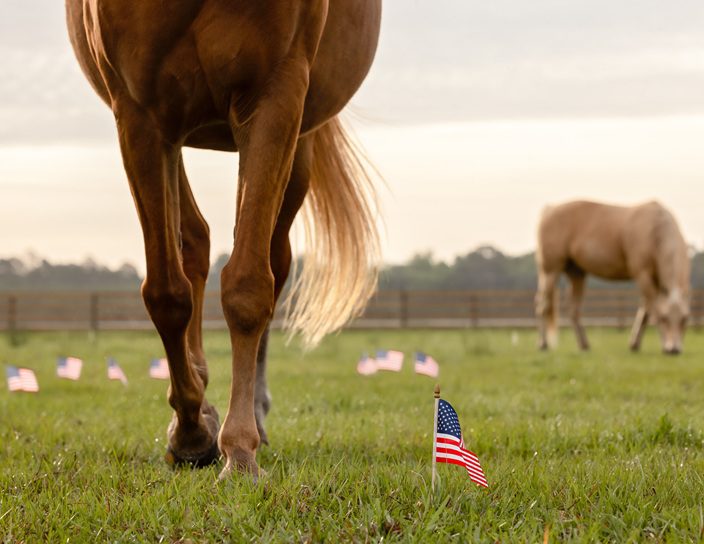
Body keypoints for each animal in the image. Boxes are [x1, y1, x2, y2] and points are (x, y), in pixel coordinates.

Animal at [66, 0, 382, 479]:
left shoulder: (275, 95)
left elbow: (248, 285)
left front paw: (238, 449)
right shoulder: (140, 114)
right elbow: (167, 292)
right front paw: (192, 432)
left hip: (295, 148)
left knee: (272, 260)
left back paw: (251, 415)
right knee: (194, 242)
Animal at [535, 200, 690, 355]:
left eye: (685, 319)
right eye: (664, 318)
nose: (674, 349)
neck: (654, 229)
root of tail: (550, 209)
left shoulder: (656, 280)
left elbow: (645, 311)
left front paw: (634, 344)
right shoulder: (642, 275)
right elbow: (653, 309)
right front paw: (662, 344)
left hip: (576, 273)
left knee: (573, 309)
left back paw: (584, 345)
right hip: (550, 270)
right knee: (543, 305)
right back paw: (543, 344)